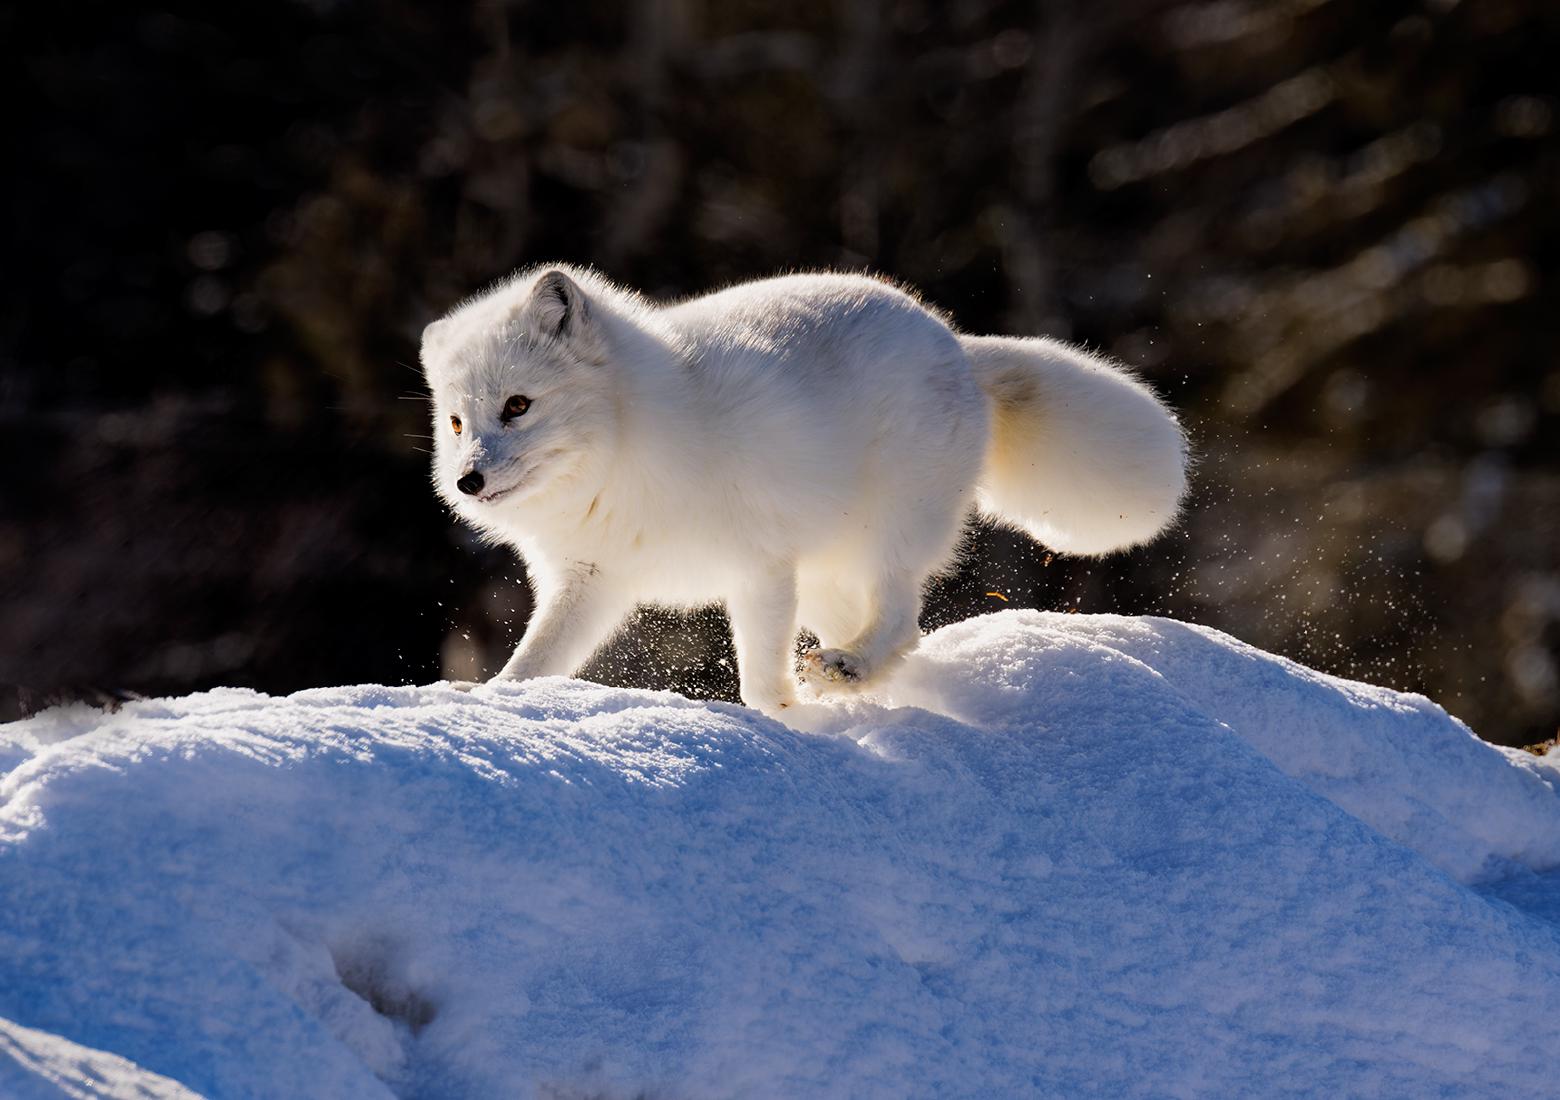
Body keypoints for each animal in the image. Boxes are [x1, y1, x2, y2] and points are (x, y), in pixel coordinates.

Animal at [420, 265, 1187, 716]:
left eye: (518, 406)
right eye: (456, 422)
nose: (467, 481)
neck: (624, 453)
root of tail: (954, 342)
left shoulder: (757, 567)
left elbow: (759, 675)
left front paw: (782, 721)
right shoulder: (591, 580)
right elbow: (533, 662)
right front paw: (486, 702)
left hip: (886, 534)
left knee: (899, 616)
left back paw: (847, 671)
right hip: (821, 573)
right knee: (900, 634)